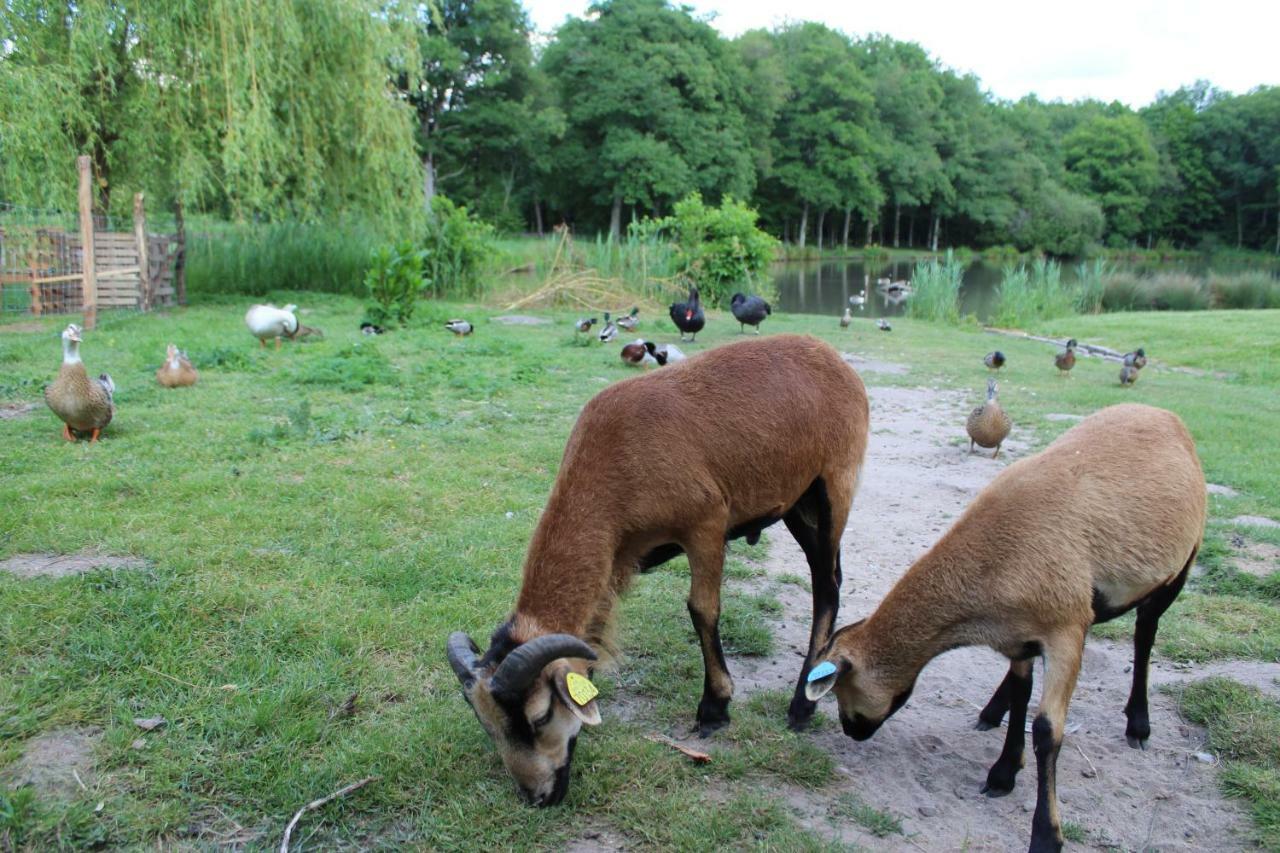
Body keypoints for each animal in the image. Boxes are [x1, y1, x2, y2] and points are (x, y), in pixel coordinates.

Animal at [448, 333, 870, 804]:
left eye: (539, 717)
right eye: (485, 722)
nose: (537, 798)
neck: (614, 464)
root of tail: (828, 352)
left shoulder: (706, 523)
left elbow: (702, 609)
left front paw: (714, 710)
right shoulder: (616, 558)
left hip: (833, 485)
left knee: (826, 585)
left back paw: (802, 705)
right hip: (797, 502)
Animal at [803, 402, 1203, 845]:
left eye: (842, 690)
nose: (850, 732)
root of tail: (1161, 413)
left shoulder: (1065, 631)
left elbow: (1046, 730)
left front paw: (1045, 834)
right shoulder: (1019, 635)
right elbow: (1022, 694)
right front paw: (1004, 772)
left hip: (1180, 565)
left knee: (1145, 634)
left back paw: (1138, 724)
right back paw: (993, 711)